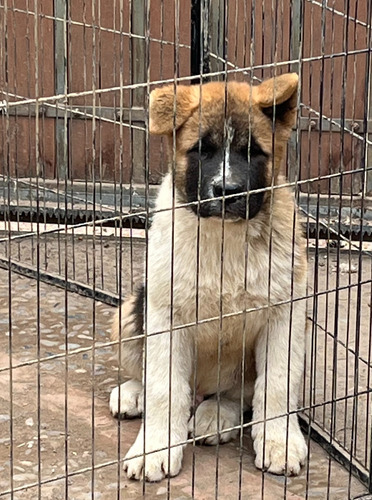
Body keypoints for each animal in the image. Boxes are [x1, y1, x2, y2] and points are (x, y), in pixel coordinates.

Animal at [109, 73, 308, 480]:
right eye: (202, 150)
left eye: (253, 152)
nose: (227, 191)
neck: (223, 237)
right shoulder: (165, 314)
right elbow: (164, 389)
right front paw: (153, 449)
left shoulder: (285, 315)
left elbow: (278, 386)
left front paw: (280, 443)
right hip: (130, 309)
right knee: (153, 374)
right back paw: (133, 393)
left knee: (235, 394)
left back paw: (215, 416)